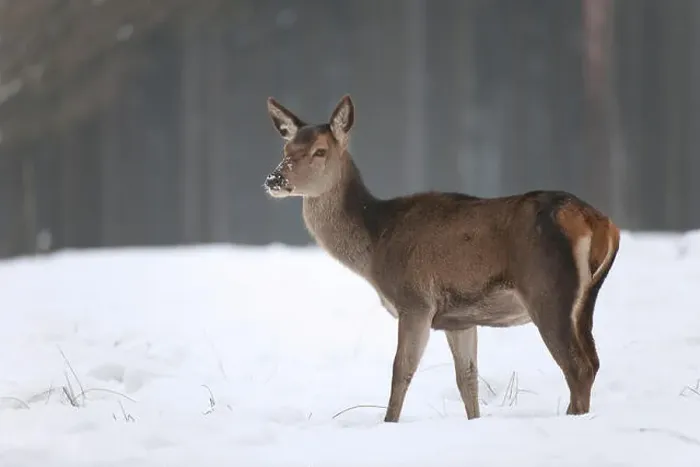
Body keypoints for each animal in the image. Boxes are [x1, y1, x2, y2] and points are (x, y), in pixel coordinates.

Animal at [263, 94, 621, 423]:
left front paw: (388, 423)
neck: (375, 246)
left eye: (320, 151)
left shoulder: (415, 302)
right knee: (593, 362)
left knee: (577, 367)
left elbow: (401, 372)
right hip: (584, 301)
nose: (274, 179)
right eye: (285, 150)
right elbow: (468, 380)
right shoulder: (459, 319)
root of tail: (600, 223)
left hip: (547, 290)